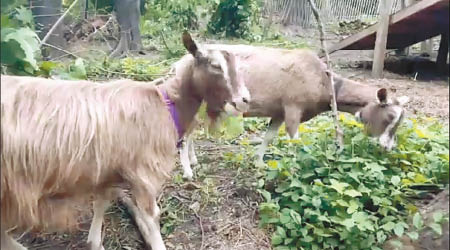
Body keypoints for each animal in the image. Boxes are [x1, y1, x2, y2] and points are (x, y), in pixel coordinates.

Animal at [0, 33, 250, 250]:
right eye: (215, 65)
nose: (244, 100)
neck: (166, 103)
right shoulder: (144, 171)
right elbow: (151, 215)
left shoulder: (109, 169)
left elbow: (101, 203)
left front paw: (95, 242)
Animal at [178, 44, 410, 179]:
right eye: (390, 117)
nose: (388, 147)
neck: (324, 81)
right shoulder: (292, 108)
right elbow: (296, 142)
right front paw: (295, 170)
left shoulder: (279, 112)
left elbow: (269, 137)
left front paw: (259, 163)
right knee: (184, 134)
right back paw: (188, 171)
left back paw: (193, 160)